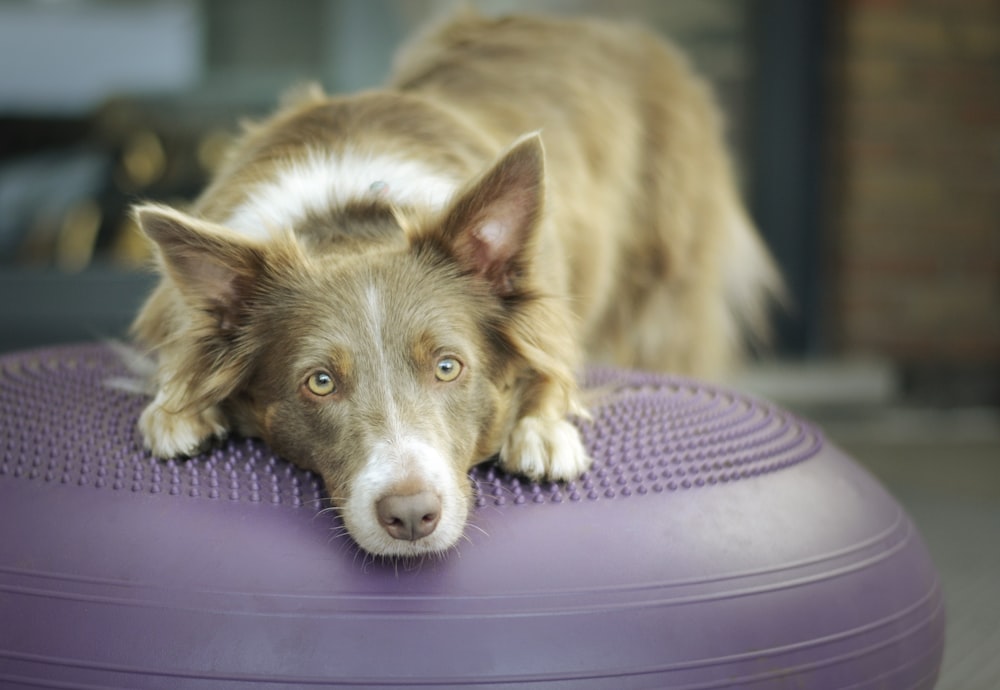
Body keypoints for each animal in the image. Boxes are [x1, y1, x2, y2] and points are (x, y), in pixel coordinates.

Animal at [129, 10, 780, 556]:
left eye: (448, 367)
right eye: (319, 383)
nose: (412, 515)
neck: (352, 215)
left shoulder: (545, 309)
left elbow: (555, 369)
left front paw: (544, 429)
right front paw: (175, 408)